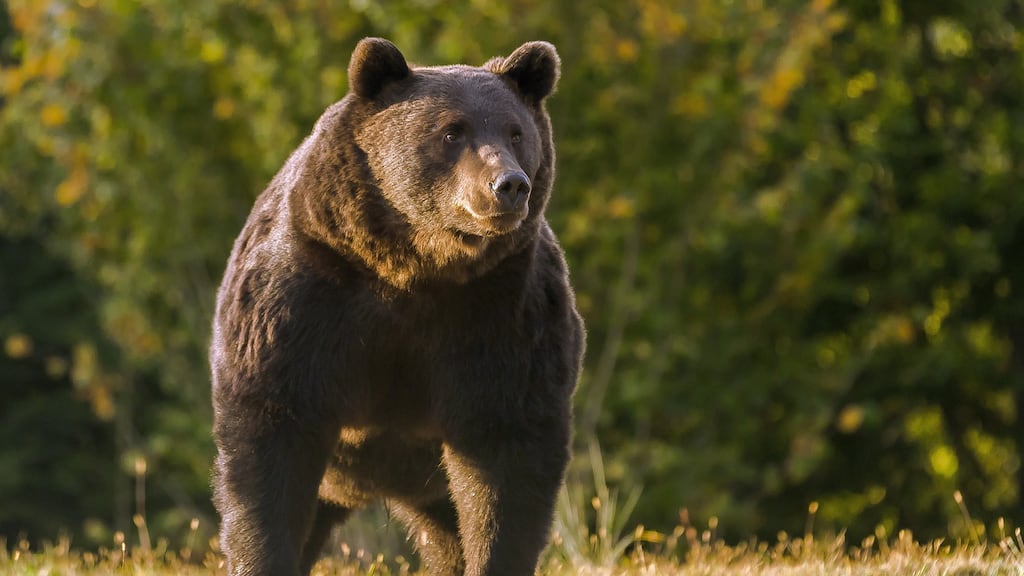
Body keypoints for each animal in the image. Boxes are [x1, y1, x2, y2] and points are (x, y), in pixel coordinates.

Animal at [209, 37, 584, 576]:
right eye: (451, 131)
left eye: (517, 133)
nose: (510, 184)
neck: (415, 267)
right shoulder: (304, 297)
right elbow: (270, 444)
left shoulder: (503, 312)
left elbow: (506, 459)